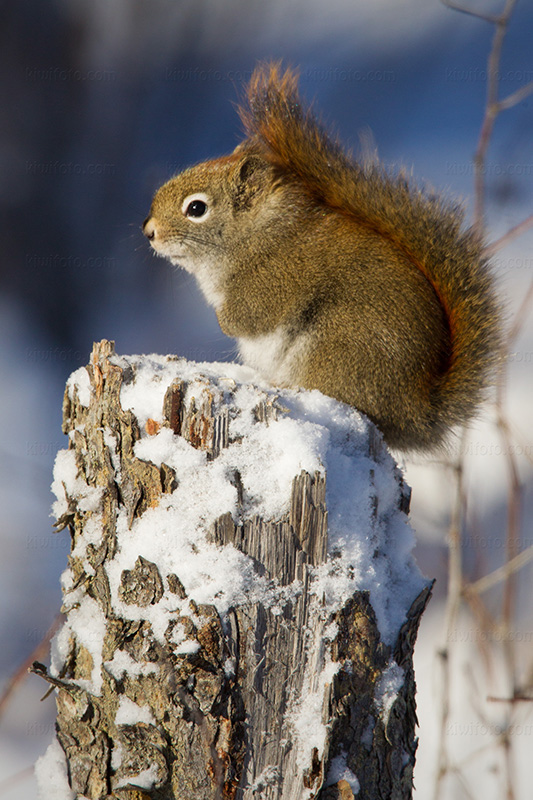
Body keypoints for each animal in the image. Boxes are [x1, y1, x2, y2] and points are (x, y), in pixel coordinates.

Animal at [143, 62, 500, 450]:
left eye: (196, 208)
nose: (149, 231)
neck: (258, 234)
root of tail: (415, 414)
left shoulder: (277, 278)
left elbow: (249, 317)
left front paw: (224, 321)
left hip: (337, 344)